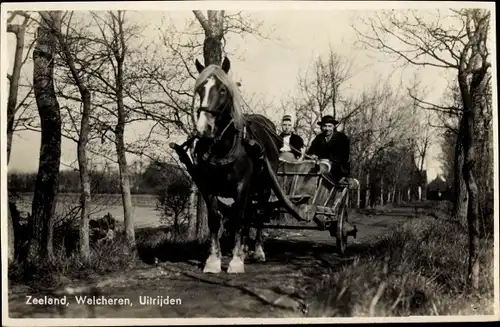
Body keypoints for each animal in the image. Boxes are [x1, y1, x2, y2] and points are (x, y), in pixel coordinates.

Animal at [186, 57, 304, 274]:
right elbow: (215, 220)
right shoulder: (208, 187)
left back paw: (257, 251)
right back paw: (246, 249)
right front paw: (213, 261)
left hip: (264, 186)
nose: (204, 129)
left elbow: (238, 220)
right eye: (200, 90)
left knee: (258, 215)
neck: (223, 148)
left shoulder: (243, 186)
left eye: (223, 90)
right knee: (250, 214)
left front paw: (235, 262)